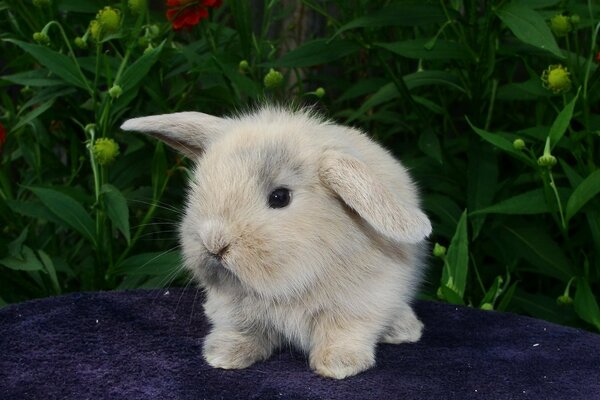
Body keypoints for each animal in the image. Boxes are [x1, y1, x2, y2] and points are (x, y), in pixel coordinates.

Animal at [120, 105, 432, 378]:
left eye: (280, 197)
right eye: (200, 187)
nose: (214, 244)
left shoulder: (360, 303)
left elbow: (343, 332)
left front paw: (338, 365)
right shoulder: (234, 308)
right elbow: (243, 331)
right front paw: (223, 355)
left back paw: (406, 330)